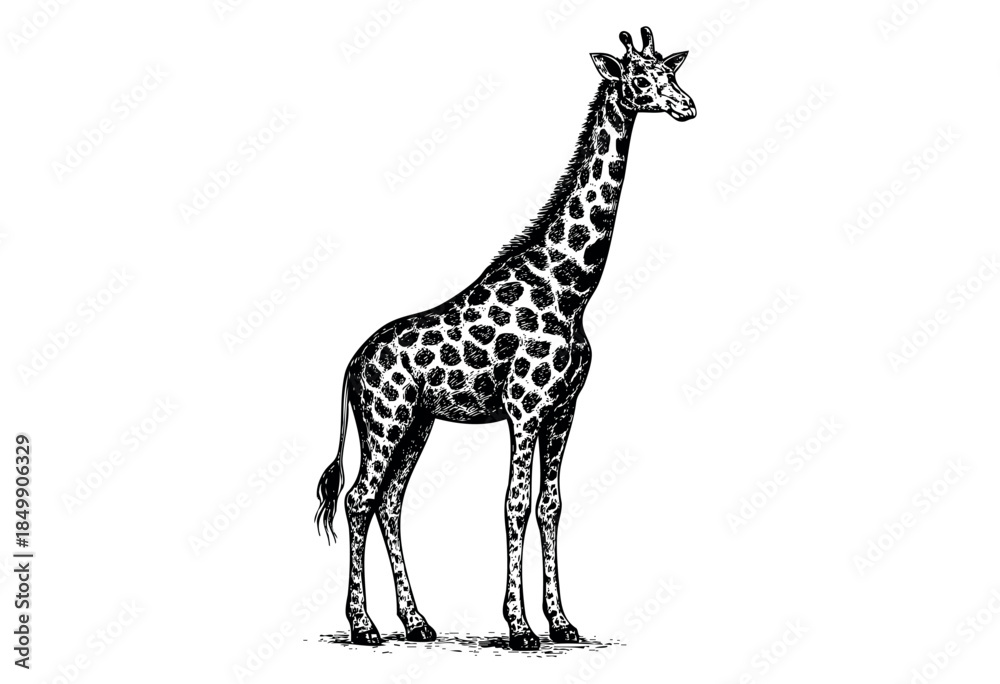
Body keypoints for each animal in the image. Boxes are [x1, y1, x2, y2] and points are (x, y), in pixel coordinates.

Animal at [315, 26, 695, 651]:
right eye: (640, 78)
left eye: (671, 71)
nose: (687, 105)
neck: (570, 288)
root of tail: (352, 363)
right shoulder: (524, 408)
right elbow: (514, 505)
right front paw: (519, 628)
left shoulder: (563, 409)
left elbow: (551, 505)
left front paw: (561, 623)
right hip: (385, 422)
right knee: (359, 499)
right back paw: (364, 627)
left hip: (417, 424)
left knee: (390, 503)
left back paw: (417, 623)